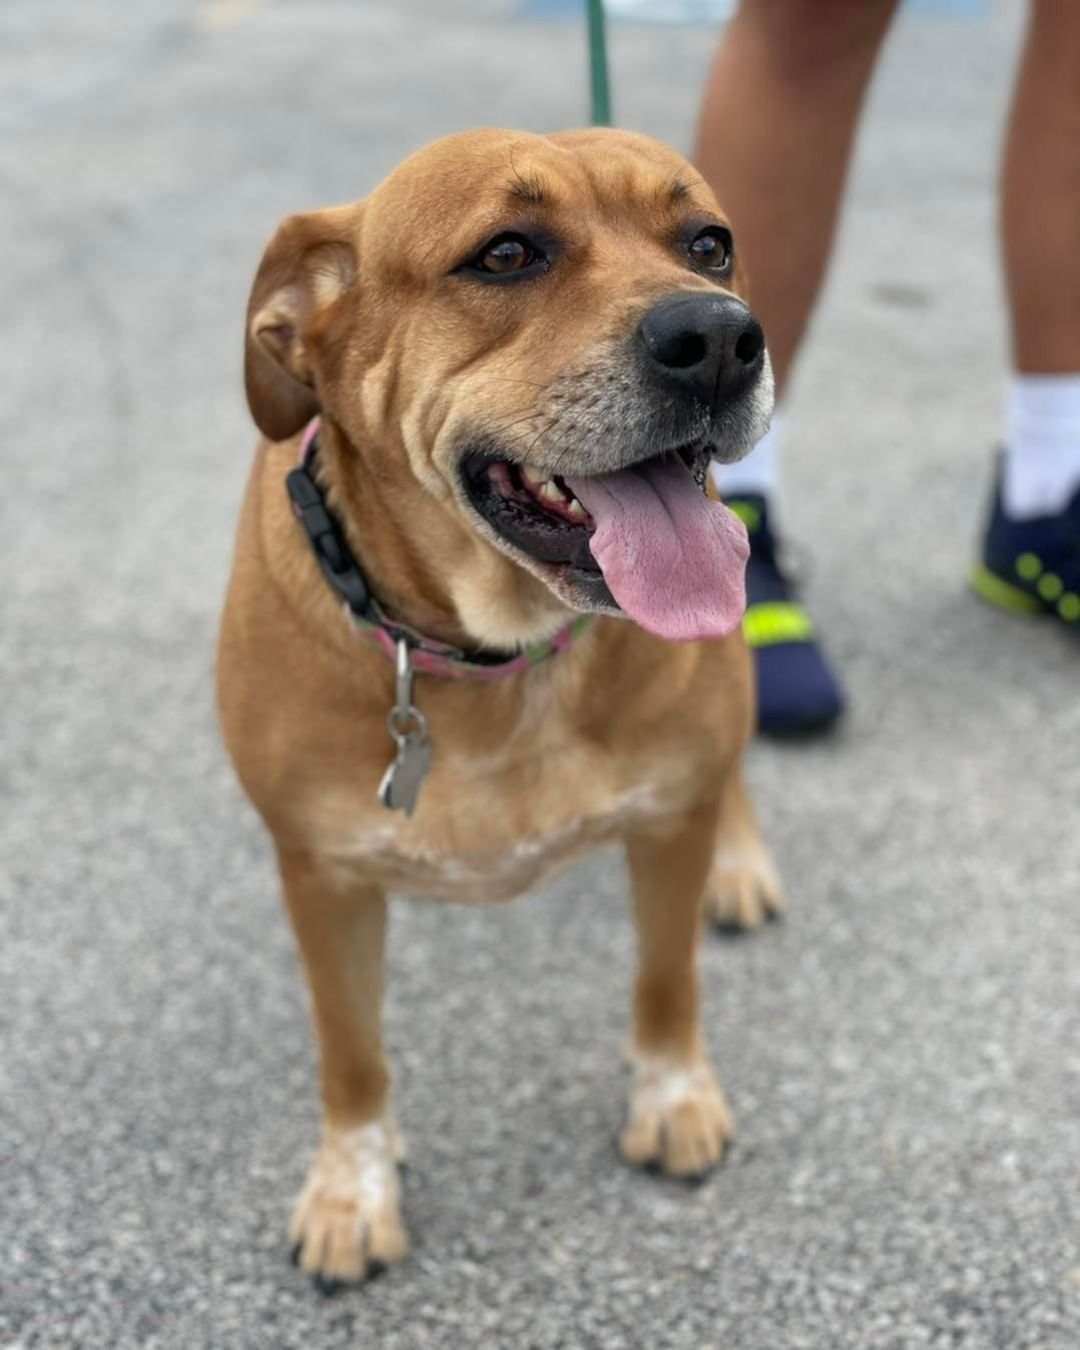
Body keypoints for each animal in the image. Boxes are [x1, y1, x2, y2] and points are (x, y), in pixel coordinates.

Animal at [214, 128, 783, 1285]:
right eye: (507, 253)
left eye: (708, 244)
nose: (718, 337)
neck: (496, 651)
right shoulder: (322, 876)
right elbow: (351, 1054)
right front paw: (353, 1187)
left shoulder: (668, 825)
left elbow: (667, 983)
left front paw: (674, 1095)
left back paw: (742, 859)